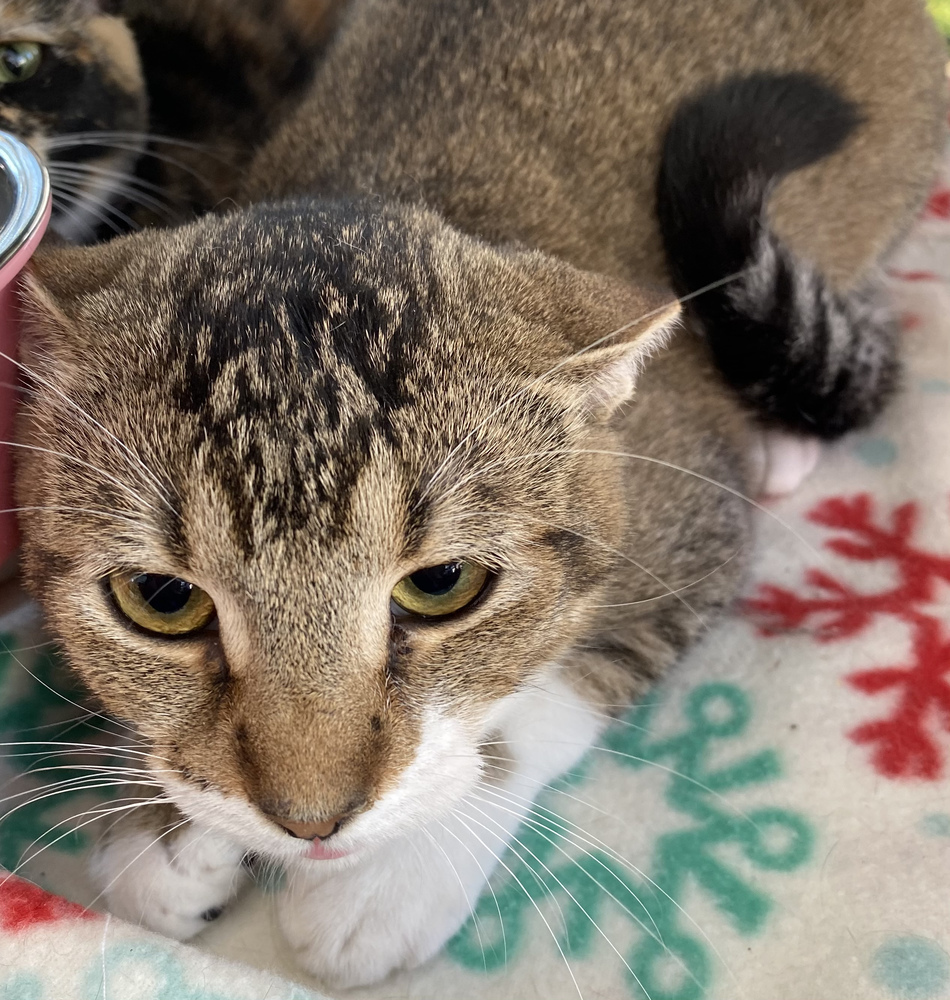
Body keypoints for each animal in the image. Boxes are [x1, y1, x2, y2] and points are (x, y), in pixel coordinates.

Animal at [11, 0, 948, 988]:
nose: (311, 822)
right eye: (162, 598)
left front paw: (391, 877)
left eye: (443, 585)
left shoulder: (695, 511)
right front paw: (156, 831)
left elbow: (544, 691)